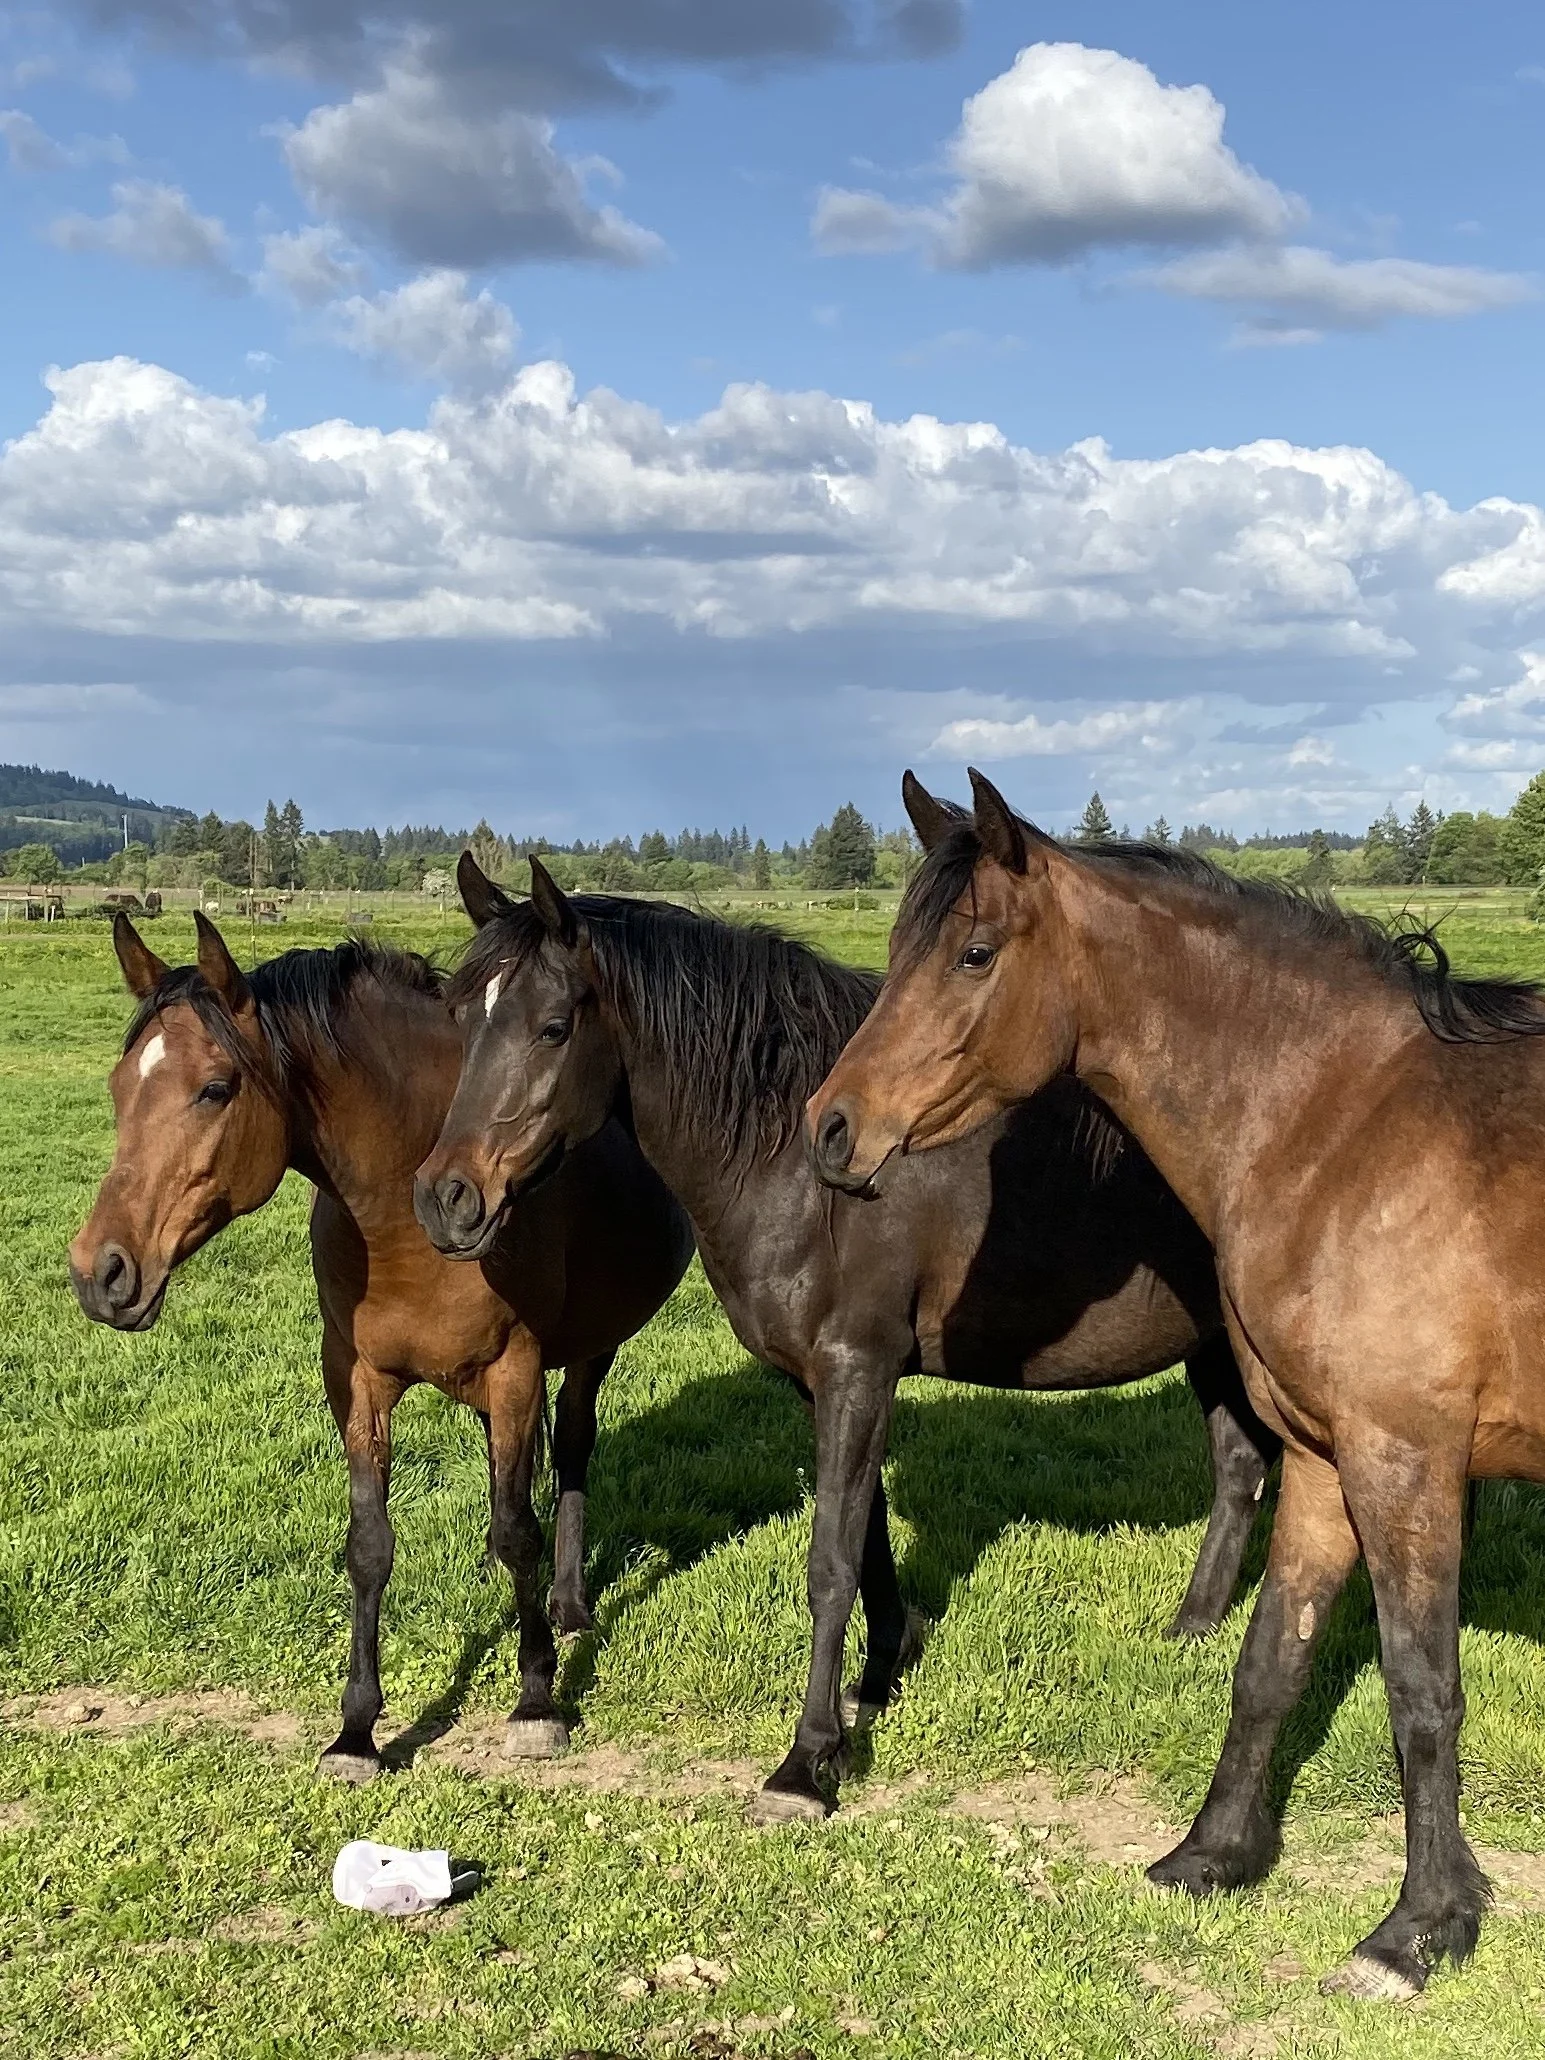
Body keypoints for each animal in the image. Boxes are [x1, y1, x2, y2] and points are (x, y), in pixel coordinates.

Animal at [69, 913, 693, 1780]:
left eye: (215, 1088)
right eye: (119, 1088)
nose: (100, 1271)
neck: (408, 1209)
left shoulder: (515, 1369)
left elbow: (517, 1531)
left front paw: (536, 1703)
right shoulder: (356, 1378)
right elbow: (370, 1544)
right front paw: (356, 1732)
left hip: (590, 1347)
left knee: (570, 1449)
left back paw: (568, 1608)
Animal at [411, 849, 1280, 1825]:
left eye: (554, 1028)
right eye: (458, 1017)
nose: (446, 1198)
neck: (793, 1159)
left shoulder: (856, 1369)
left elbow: (829, 1559)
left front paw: (805, 1762)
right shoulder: (822, 1379)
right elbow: (867, 1540)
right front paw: (879, 1674)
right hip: (1216, 1345)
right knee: (1239, 1468)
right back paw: (1191, 1629)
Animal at [806, 766, 1545, 1998]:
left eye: (972, 954)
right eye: (902, 944)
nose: (830, 1128)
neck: (1345, 1128)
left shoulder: (1403, 1463)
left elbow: (1422, 1692)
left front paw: (1417, 1929)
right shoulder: (1321, 1459)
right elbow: (1269, 1662)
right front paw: (1213, 1853)